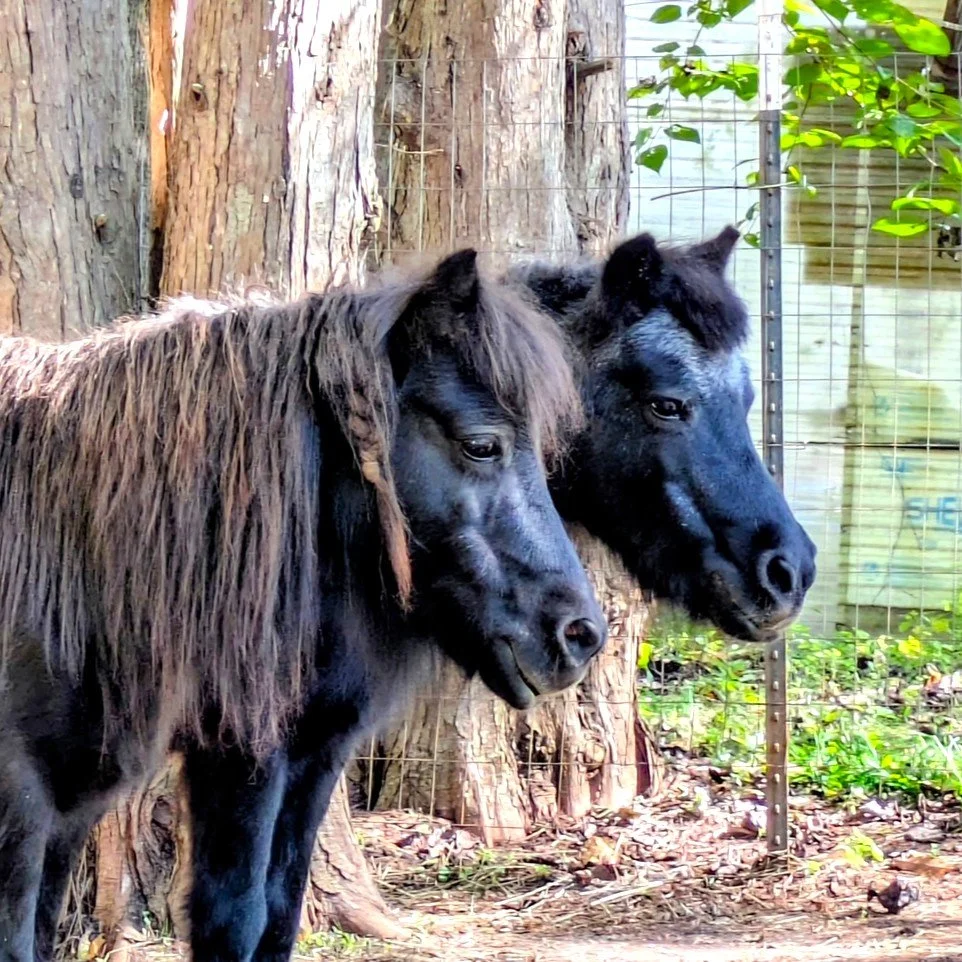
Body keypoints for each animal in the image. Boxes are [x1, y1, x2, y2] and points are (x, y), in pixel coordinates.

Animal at [0, 249, 607, 962]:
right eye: (481, 444)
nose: (579, 634)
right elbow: (232, 917)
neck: (71, 544)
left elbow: (274, 913)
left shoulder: (287, 759)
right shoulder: (40, 800)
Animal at [125, 227, 818, 962]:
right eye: (666, 403)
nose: (789, 570)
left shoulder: (314, 748)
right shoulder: (244, 754)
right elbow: (237, 915)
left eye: (746, 401)